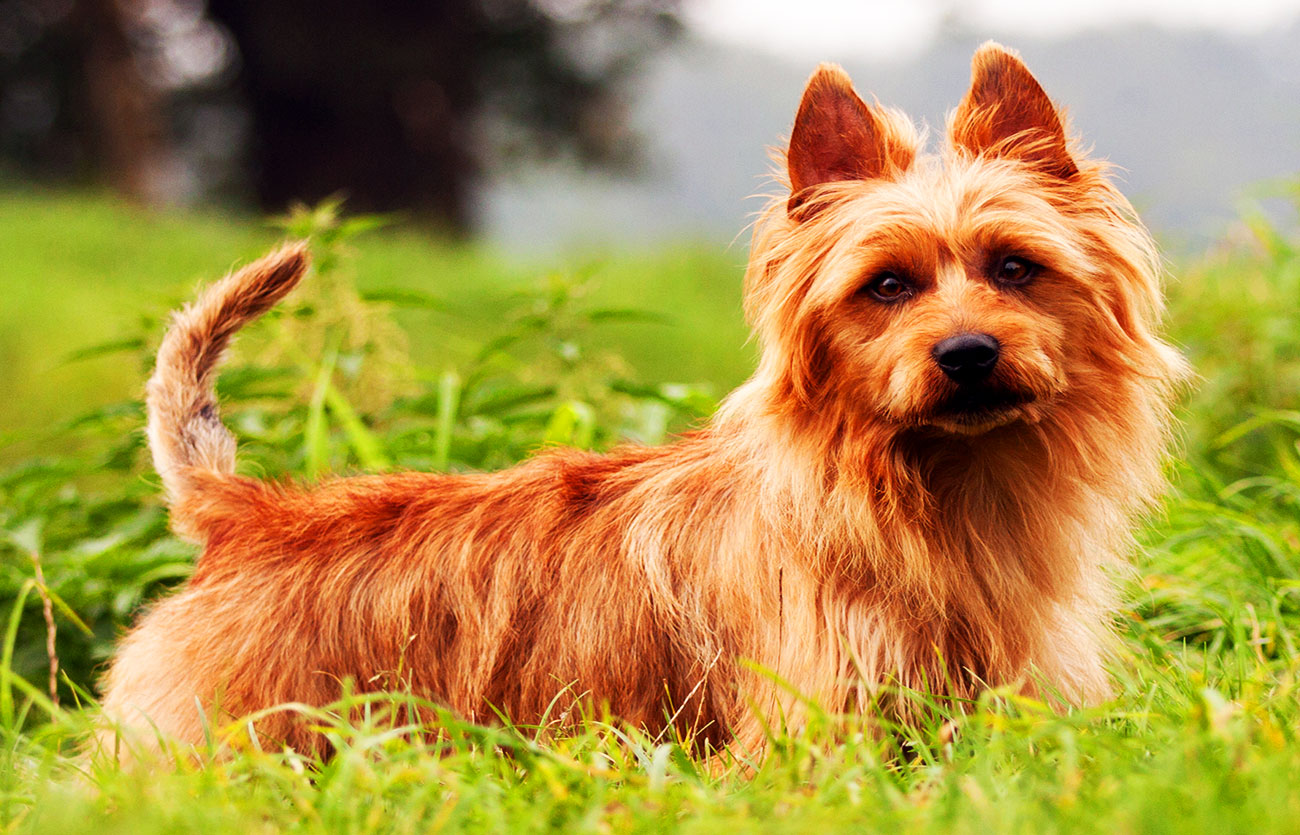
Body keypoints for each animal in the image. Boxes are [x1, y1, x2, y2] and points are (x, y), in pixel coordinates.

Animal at [98, 43, 1190, 759]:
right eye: (886, 286)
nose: (966, 352)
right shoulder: (815, 724)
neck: (927, 488)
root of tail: (241, 512)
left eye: (1015, 267)